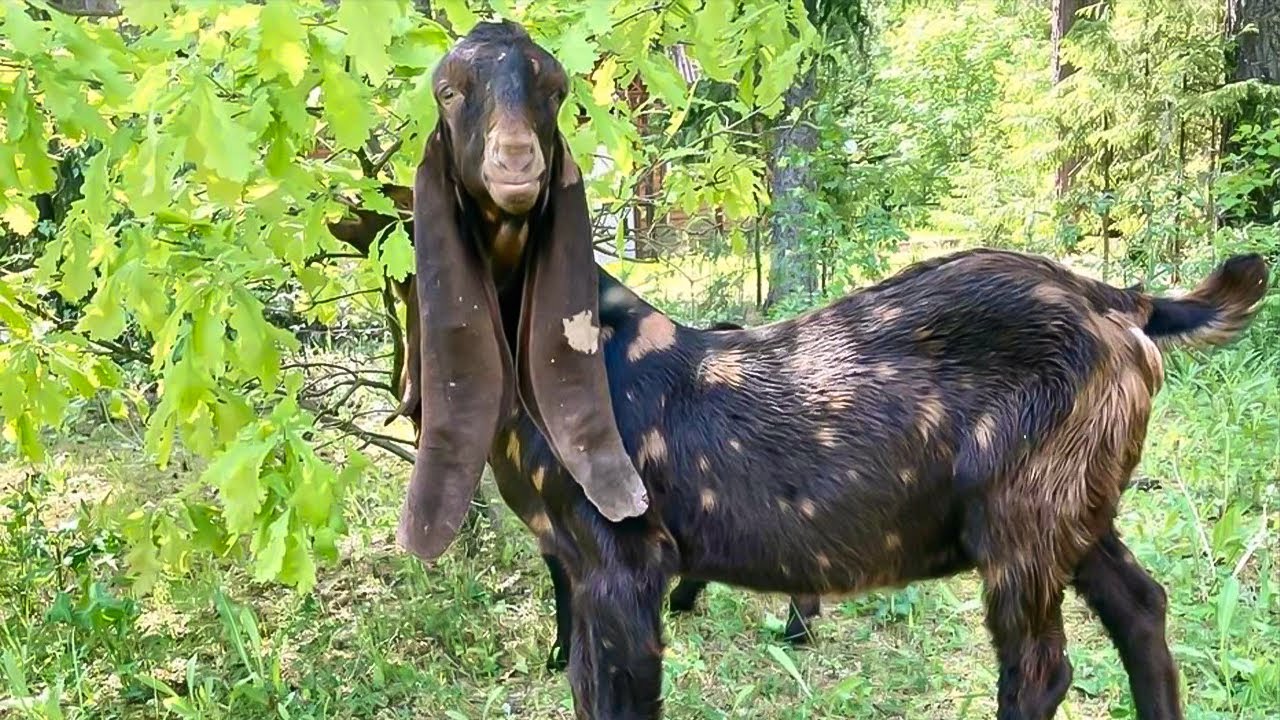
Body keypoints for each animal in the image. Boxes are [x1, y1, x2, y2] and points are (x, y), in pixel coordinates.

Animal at [340, 19, 1269, 717]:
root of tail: (1126, 305)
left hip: (1025, 512)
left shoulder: (626, 564)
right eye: (448, 88)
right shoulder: (572, 566)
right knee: (1141, 608)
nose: (516, 163)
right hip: (1080, 501)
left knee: (1043, 666)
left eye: (555, 88)